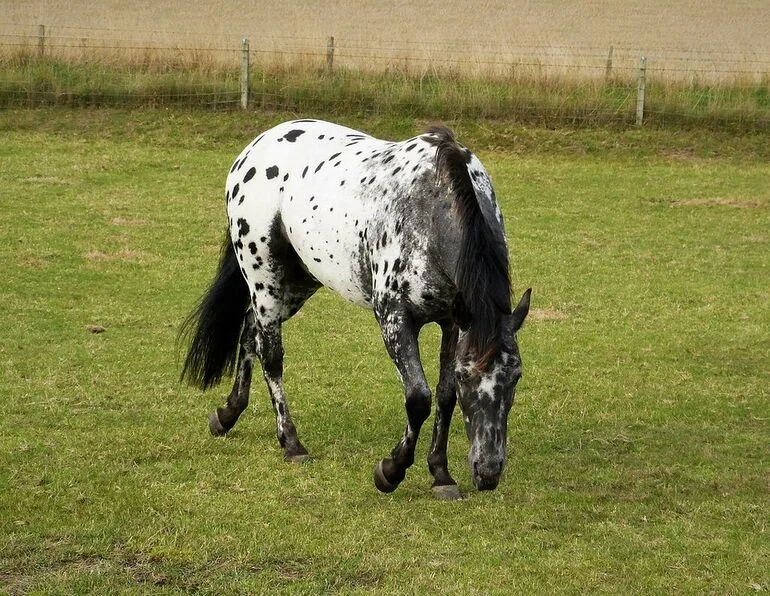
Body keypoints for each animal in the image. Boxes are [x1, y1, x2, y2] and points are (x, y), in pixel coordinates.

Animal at [180, 119, 530, 499]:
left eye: (516, 375)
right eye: (469, 376)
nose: (488, 472)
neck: (430, 207)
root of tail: (253, 150)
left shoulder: (452, 322)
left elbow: (444, 395)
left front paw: (441, 474)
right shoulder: (394, 317)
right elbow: (419, 398)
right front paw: (391, 471)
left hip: (297, 282)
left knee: (250, 331)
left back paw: (228, 414)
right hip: (263, 276)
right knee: (270, 355)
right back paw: (291, 442)